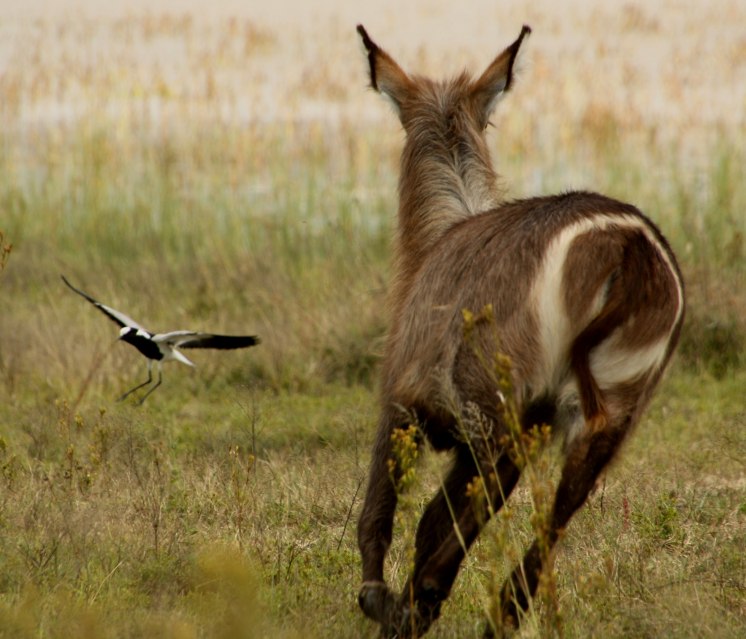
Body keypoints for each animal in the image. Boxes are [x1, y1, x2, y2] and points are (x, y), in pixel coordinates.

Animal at [354, 23, 684, 636]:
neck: (436, 241)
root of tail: (627, 246)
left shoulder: (400, 399)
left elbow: (380, 514)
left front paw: (378, 600)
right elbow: (432, 516)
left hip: (497, 395)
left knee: (496, 485)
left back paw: (422, 598)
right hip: (611, 412)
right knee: (556, 514)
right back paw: (487, 612)